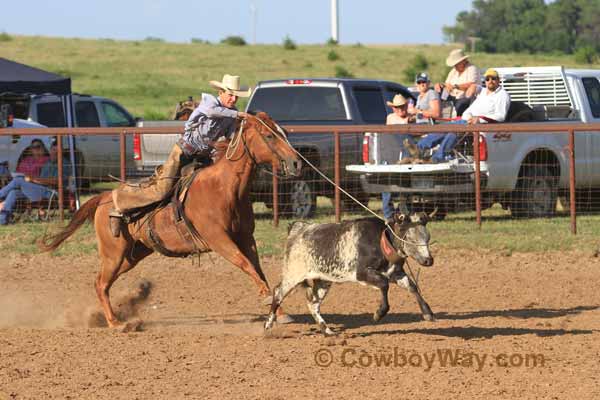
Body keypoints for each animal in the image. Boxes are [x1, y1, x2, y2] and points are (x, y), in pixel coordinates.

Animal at [38, 112, 300, 328]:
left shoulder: (246, 238)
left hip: (132, 254)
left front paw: (280, 312)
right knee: (101, 284)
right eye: (269, 135)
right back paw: (115, 323)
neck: (224, 188)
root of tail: (102, 198)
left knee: (104, 281)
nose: (296, 162)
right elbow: (246, 265)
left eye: (284, 133)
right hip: (113, 252)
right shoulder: (219, 240)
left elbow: (258, 270)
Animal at [264, 211, 434, 336]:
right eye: (411, 237)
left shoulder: (396, 273)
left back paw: (327, 331)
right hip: (293, 275)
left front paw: (428, 313)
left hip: (323, 280)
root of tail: (298, 229)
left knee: (313, 303)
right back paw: (268, 326)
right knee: (278, 293)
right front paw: (379, 313)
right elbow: (384, 285)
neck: (381, 241)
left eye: (427, 237)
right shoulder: (362, 273)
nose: (428, 260)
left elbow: (413, 287)